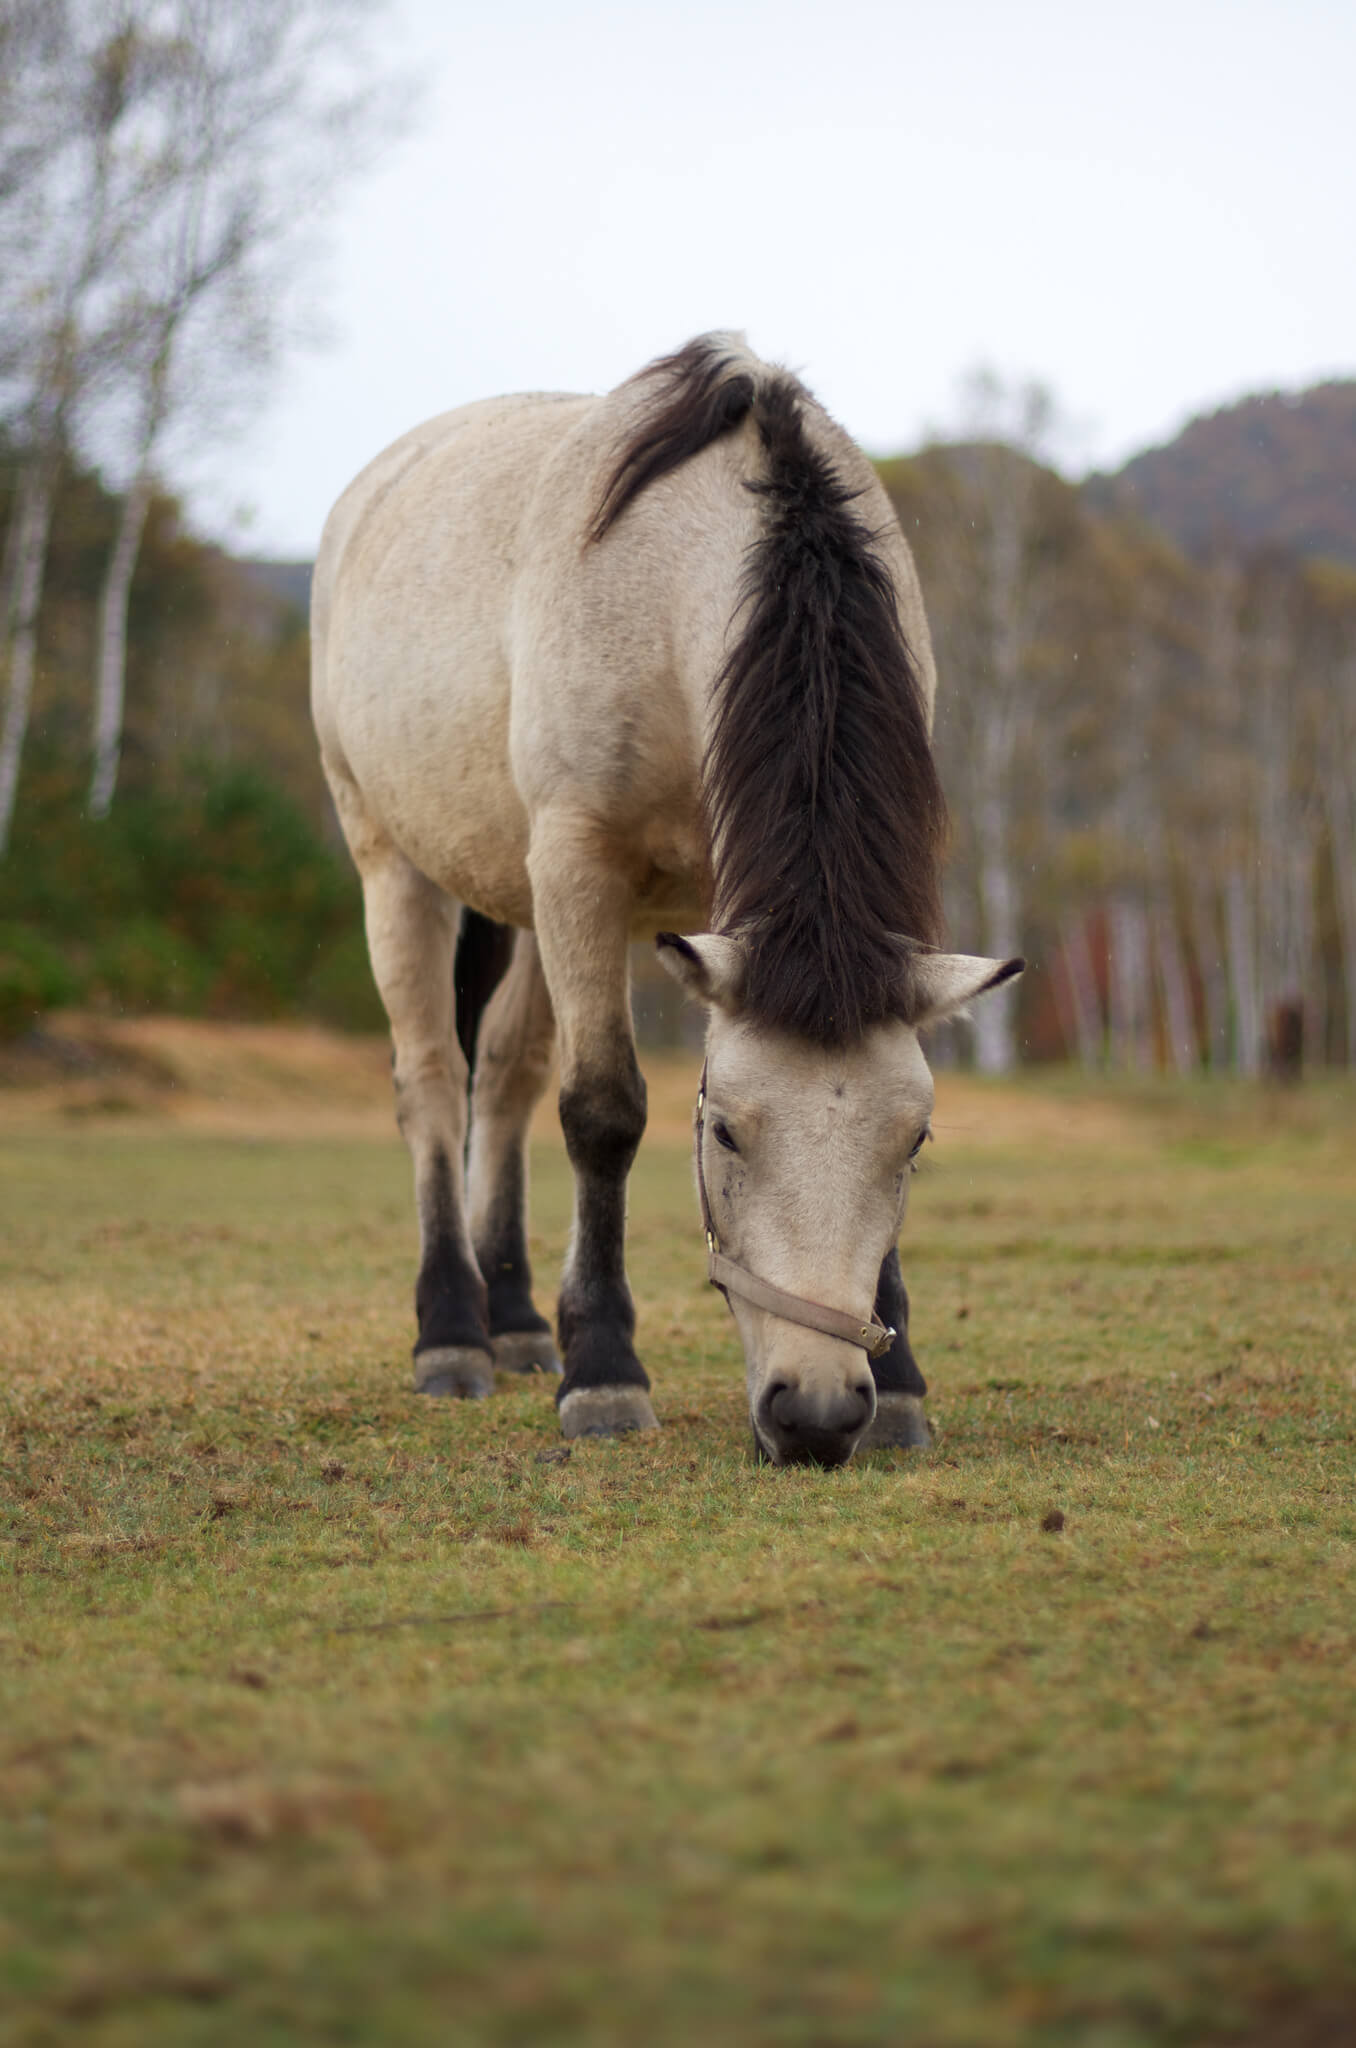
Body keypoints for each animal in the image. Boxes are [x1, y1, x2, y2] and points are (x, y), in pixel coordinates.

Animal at [313, 335, 1024, 1466]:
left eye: (912, 1141)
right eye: (725, 1132)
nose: (819, 1411)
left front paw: (904, 1384)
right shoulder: (578, 862)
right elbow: (602, 1109)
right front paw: (605, 1371)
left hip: (526, 906)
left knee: (502, 1079)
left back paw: (518, 1320)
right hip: (402, 868)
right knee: (433, 1081)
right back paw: (454, 1332)